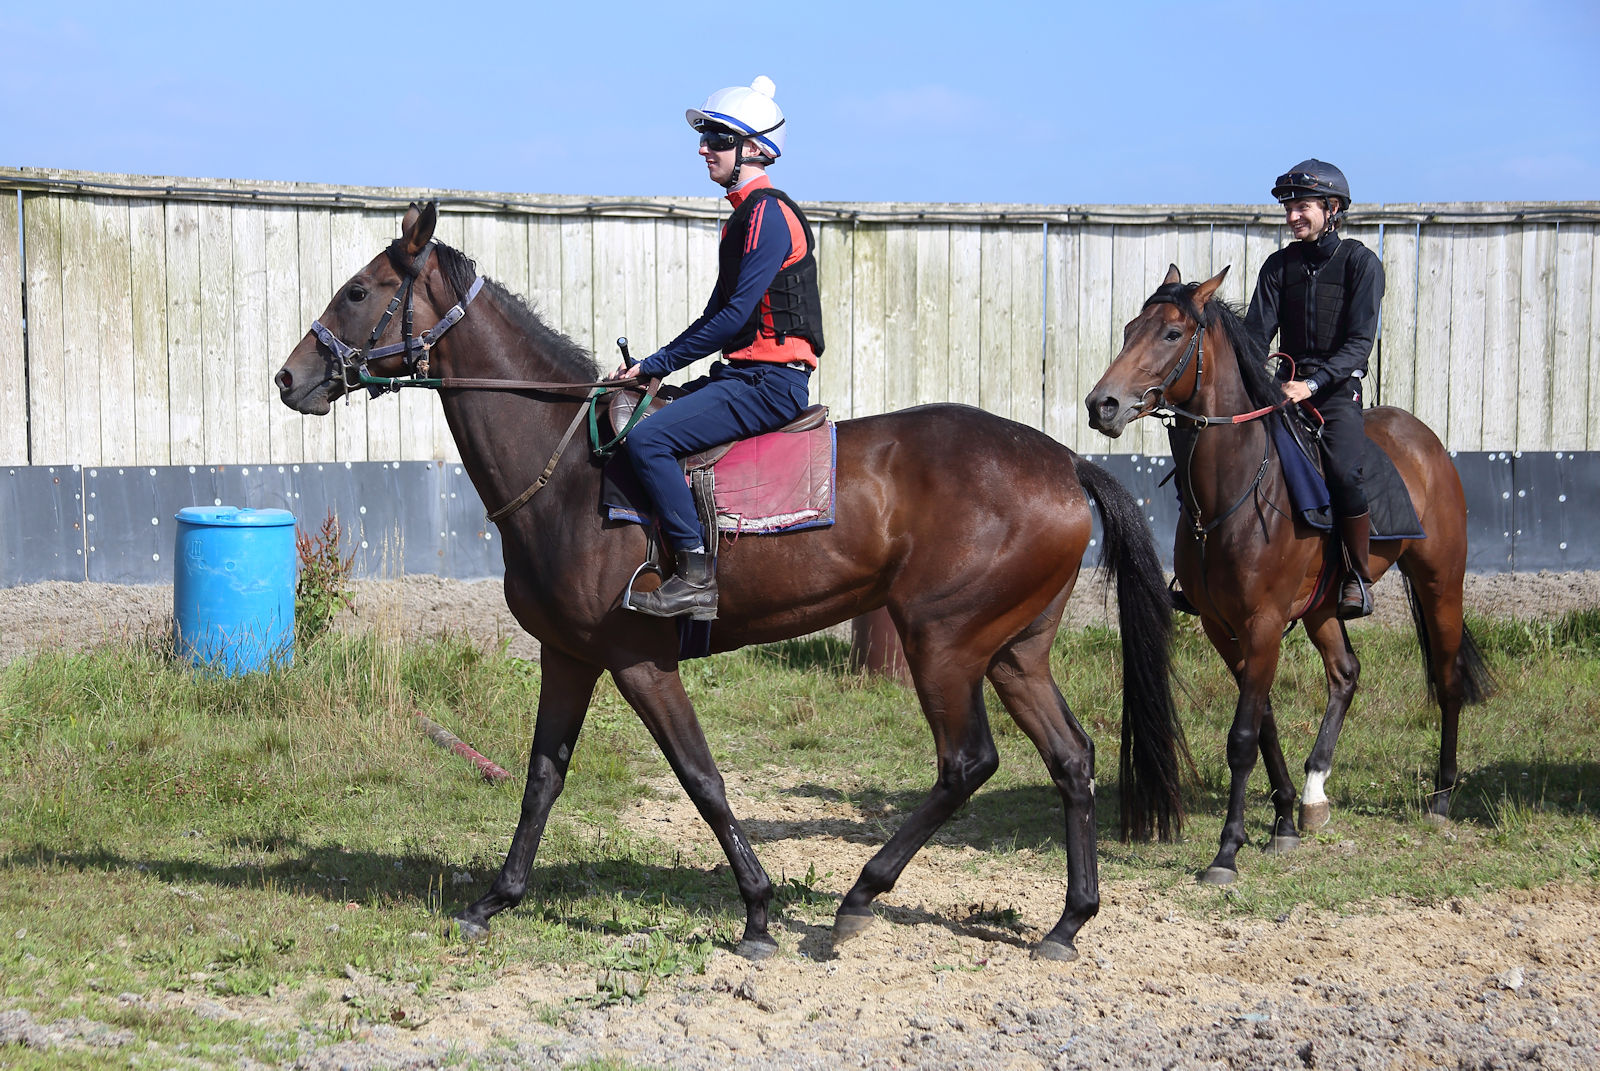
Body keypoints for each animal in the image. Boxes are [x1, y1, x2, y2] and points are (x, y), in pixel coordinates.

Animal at [275, 203, 1188, 962]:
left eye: (359, 291)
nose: (288, 378)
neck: (569, 465)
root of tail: (1065, 461)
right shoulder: (570, 657)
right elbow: (542, 778)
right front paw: (495, 899)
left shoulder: (640, 660)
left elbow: (702, 778)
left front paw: (756, 910)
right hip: (1013, 652)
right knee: (1071, 758)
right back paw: (1068, 921)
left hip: (944, 644)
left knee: (966, 763)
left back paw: (860, 897)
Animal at [1084, 265, 1494, 885]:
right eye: (1132, 328)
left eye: (1173, 334)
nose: (1102, 405)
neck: (1233, 491)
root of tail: (1425, 439)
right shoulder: (1225, 627)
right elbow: (1265, 724)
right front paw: (1281, 823)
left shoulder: (1264, 622)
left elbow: (1242, 736)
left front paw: (1227, 851)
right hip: (1323, 608)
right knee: (1346, 674)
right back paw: (1313, 795)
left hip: (1440, 582)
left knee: (1447, 679)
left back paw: (1441, 798)